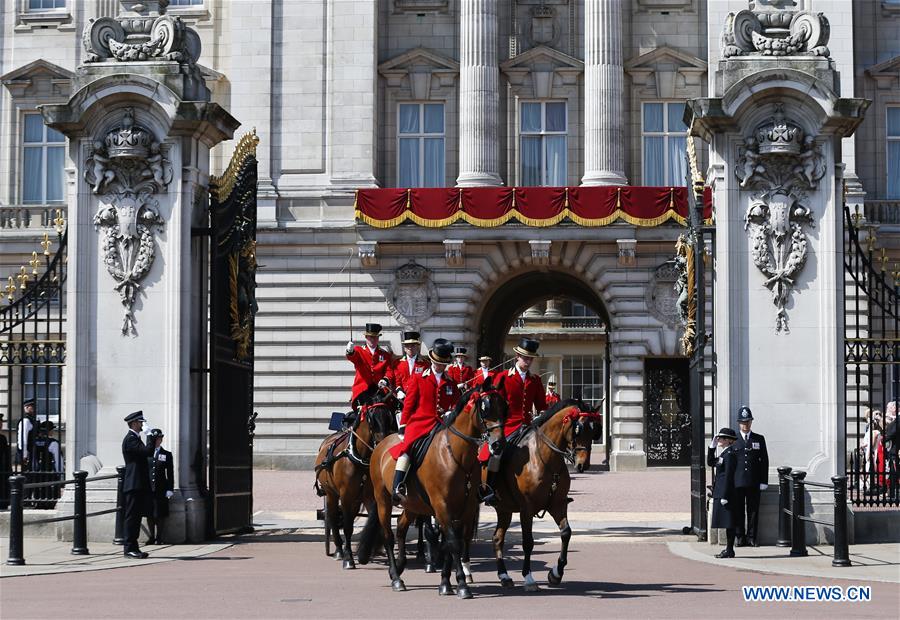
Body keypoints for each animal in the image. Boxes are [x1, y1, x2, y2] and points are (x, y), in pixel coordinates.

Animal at [318, 390, 400, 568]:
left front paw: (368, 550)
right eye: (372, 418)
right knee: (333, 517)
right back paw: (339, 550)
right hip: (331, 493)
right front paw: (349, 558)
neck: (360, 456)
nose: (383, 445)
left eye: (389, 417)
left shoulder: (371, 496)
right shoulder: (346, 495)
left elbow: (375, 520)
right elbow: (348, 526)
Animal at [360, 380, 512, 600]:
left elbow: (449, 543)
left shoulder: (465, 507)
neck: (455, 454)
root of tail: (381, 444)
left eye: (505, 407)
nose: (499, 445)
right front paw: (462, 584)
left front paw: (446, 583)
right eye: (485, 408)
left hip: (412, 504)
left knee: (402, 527)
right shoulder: (442, 505)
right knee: (388, 535)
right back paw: (396, 578)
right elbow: (453, 542)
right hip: (383, 500)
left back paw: (399, 566)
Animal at [482, 400, 600, 592]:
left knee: (497, 538)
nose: (583, 464)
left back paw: (504, 576)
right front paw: (528, 577)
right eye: (579, 428)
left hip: (503, 508)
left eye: (595, 429)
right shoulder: (526, 509)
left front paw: (556, 573)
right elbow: (528, 542)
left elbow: (566, 533)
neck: (542, 457)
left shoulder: (557, 505)